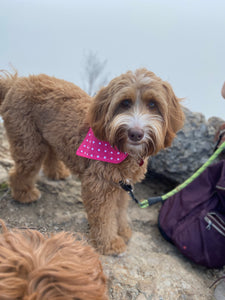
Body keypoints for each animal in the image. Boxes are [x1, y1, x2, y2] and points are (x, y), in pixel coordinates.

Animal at [0, 69, 185, 254]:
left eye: (153, 104)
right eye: (125, 103)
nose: (135, 133)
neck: (121, 151)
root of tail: (16, 82)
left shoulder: (122, 185)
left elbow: (119, 210)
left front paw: (123, 231)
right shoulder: (98, 186)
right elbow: (104, 216)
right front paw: (110, 242)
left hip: (49, 136)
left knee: (51, 153)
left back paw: (57, 172)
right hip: (28, 141)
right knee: (20, 171)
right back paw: (24, 194)